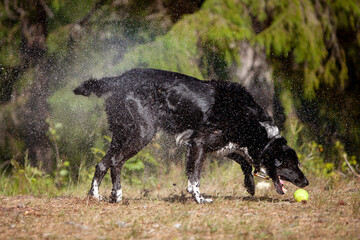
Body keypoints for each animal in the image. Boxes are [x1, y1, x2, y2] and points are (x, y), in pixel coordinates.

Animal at [74, 68, 308, 203]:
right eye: (289, 164)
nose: (306, 182)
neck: (250, 121)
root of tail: (119, 80)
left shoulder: (221, 145)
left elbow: (243, 163)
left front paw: (250, 186)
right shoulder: (199, 143)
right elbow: (195, 177)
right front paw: (199, 199)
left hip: (120, 135)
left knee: (101, 164)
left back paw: (96, 196)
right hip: (141, 134)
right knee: (116, 162)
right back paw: (117, 195)